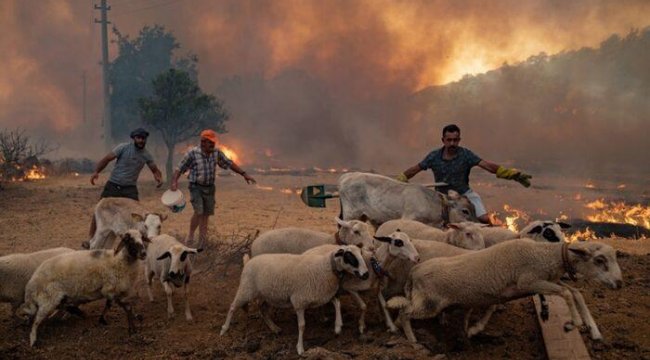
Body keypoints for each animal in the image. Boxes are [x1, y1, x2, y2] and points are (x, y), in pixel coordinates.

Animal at [19, 231, 149, 346]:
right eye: (129, 241)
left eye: (142, 238)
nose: (144, 253)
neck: (119, 261)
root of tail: (31, 284)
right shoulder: (111, 289)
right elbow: (127, 307)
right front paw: (132, 328)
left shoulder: (111, 291)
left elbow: (110, 304)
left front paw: (103, 319)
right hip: (48, 299)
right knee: (36, 321)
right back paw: (33, 340)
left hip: (55, 298)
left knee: (61, 306)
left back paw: (75, 312)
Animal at [219, 245, 368, 354]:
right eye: (349, 256)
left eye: (361, 254)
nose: (366, 274)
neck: (325, 267)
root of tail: (249, 261)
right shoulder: (299, 301)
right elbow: (302, 325)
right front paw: (300, 348)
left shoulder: (320, 294)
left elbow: (337, 303)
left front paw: (338, 327)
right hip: (246, 288)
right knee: (232, 307)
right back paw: (224, 329)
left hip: (266, 294)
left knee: (262, 309)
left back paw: (274, 328)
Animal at [388, 239, 620, 344]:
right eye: (600, 260)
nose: (619, 283)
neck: (545, 256)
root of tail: (415, 271)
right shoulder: (529, 282)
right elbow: (567, 294)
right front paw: (573, 323)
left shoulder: (530, 285)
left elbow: (574, 293)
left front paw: (593, 330)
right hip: (430, 303)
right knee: (405, 313)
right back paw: (412, 341)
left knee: (402, 312)